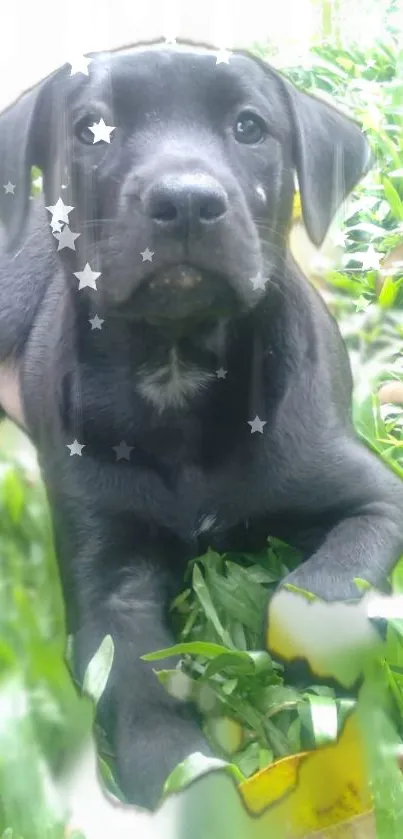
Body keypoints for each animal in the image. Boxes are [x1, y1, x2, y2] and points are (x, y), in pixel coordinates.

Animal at [0, 41, 403, 812]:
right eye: (90, 128)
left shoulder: (379, 499)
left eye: (249, 127)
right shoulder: (109, 583)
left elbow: (308, 597)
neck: (175, 365)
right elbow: (134, 685)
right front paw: (182, 780)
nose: (184, 200)